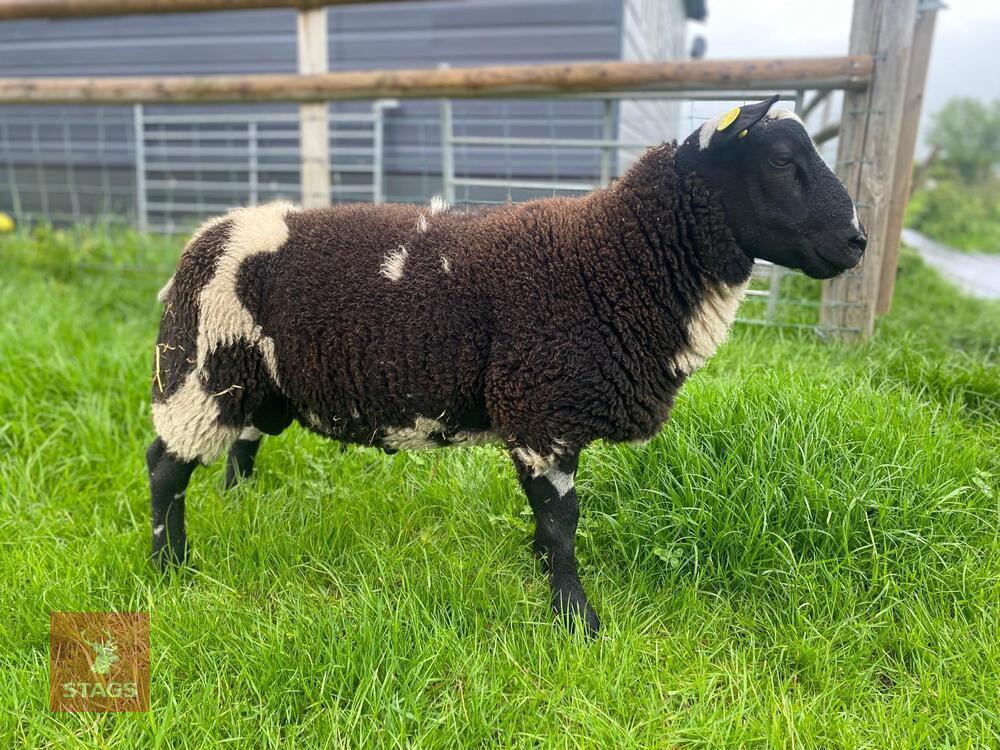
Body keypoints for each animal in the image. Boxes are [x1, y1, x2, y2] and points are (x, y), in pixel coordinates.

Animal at [147, 96, 866, 636]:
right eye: (781, 160)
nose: (856, 242)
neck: (615, 258)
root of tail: (209, 232)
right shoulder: (542, 410)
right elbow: (563, 522)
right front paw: (576, 619)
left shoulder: (543, 415)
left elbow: (548, 524)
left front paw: (547, 579)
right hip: (196, 371)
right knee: (165, 468)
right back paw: (168, 568)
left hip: (253, 381)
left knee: (241, 445)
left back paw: (240, 508)